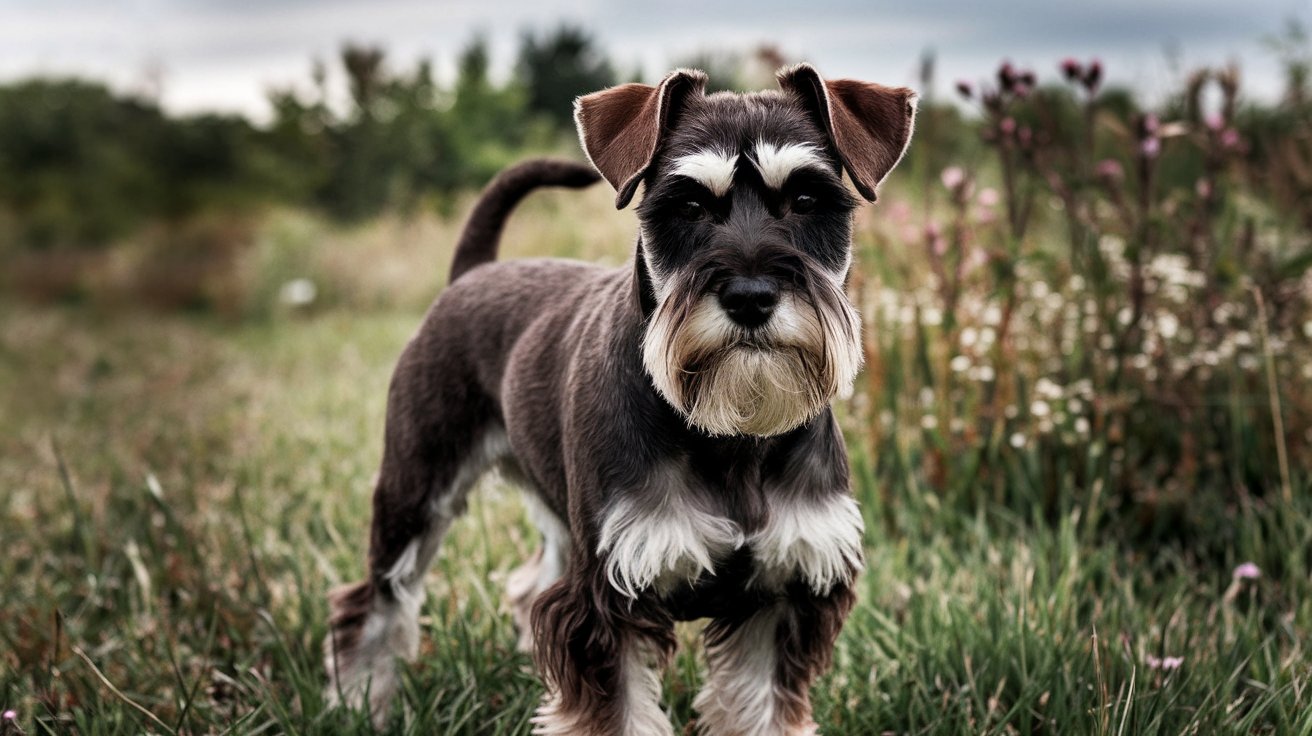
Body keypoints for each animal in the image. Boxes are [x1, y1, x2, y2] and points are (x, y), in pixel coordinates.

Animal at [326, 64, 913, 734]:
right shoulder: (607, 600)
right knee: (375, 602)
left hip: (559, 516)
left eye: (808, 200)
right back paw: (361, 702)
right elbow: (618, 708)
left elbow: (762, 709)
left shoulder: (785, 590)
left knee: (528, 588)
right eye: (687, 205)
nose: (750, 297)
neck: (729, 438)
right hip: (416, 488)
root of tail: (471, 273)